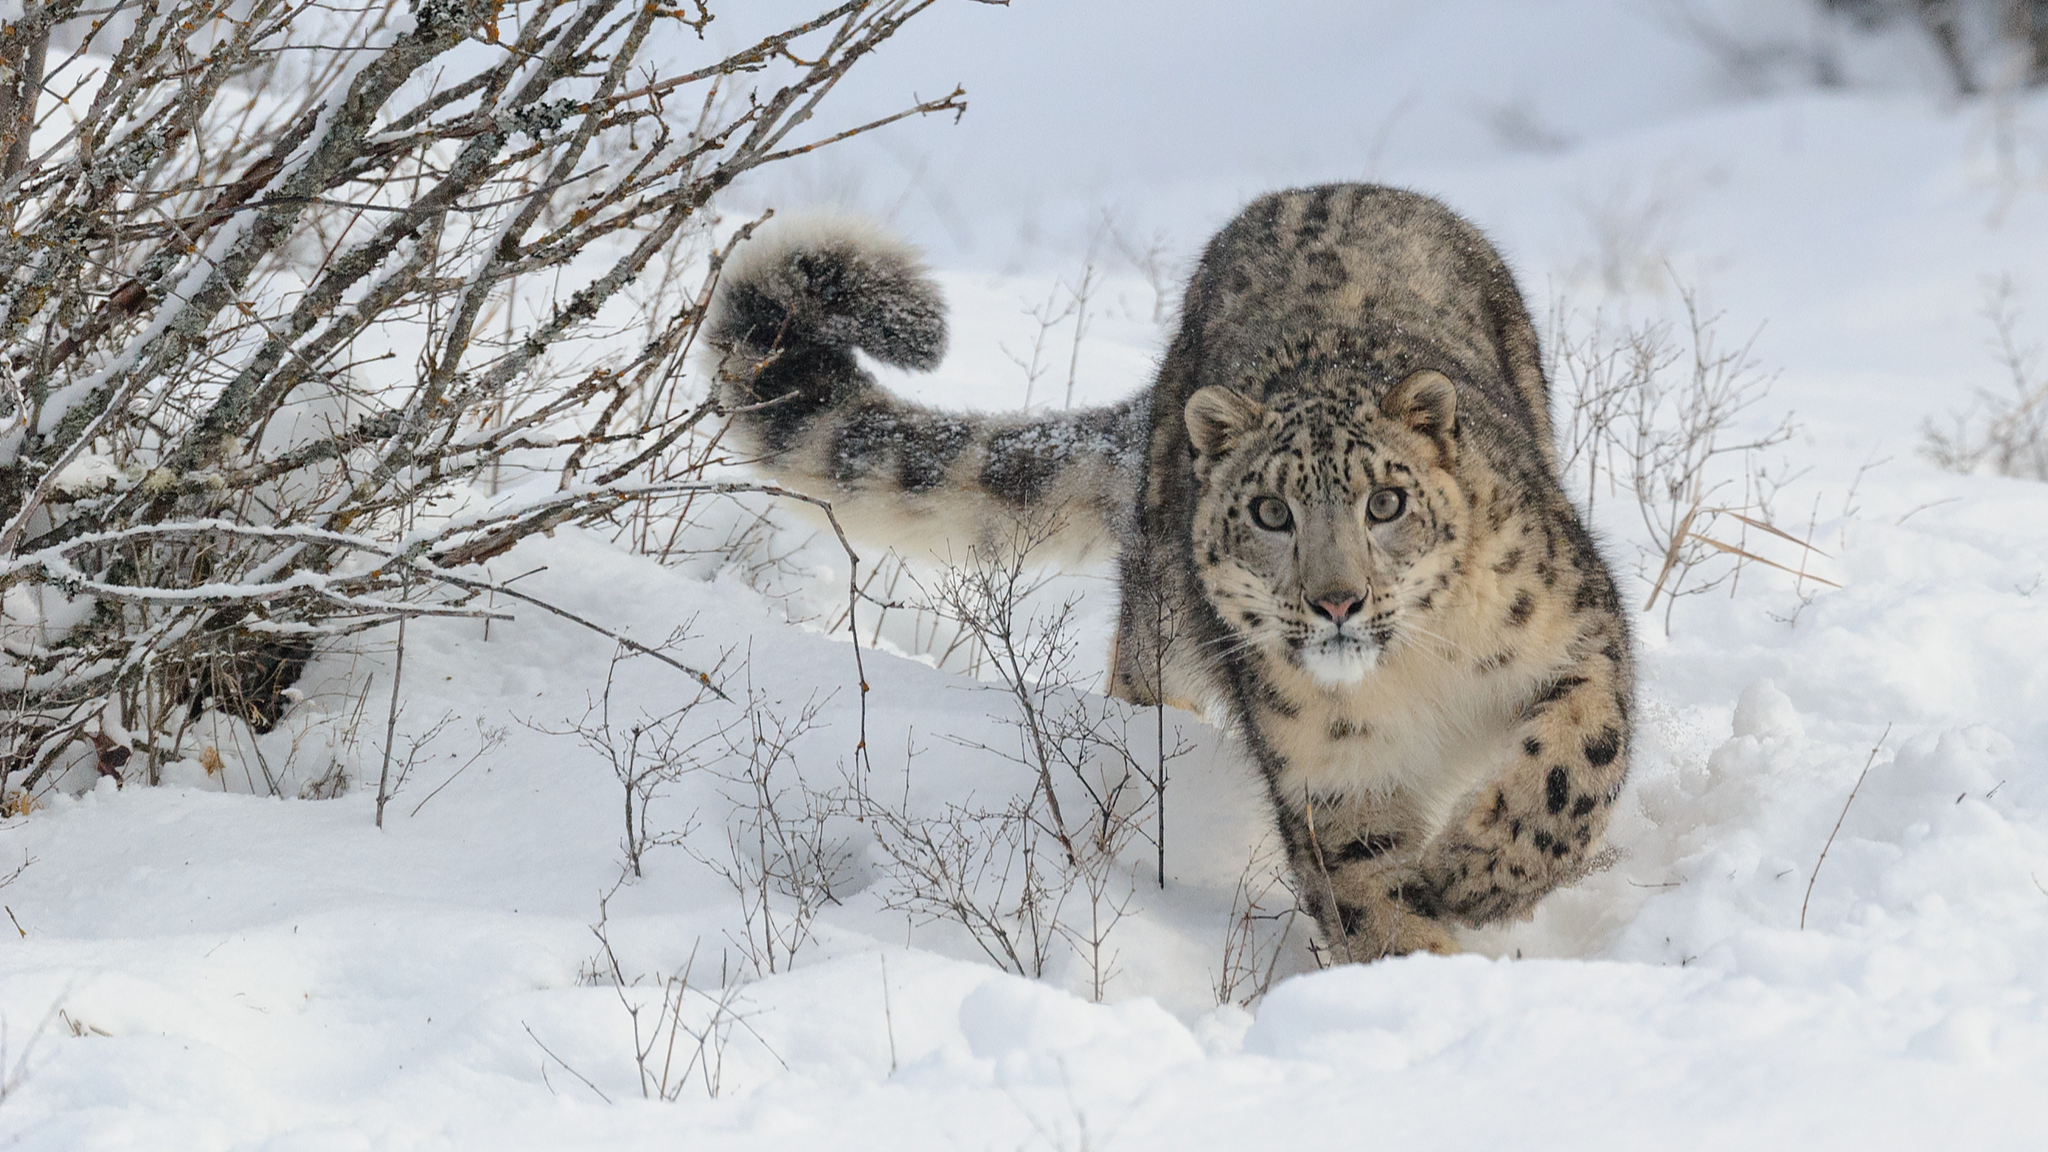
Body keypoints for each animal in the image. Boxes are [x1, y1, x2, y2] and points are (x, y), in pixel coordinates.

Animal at [712, 186, 1638, 959]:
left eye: (1386, 503)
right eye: (1271, 513)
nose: (1337, 601)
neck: (1413, 677)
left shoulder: (1580, 628)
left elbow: (1576, 764)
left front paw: (1476, 875)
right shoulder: (1333, 775)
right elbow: (1369, 899)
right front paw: (1427, 967)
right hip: (1162, 630)